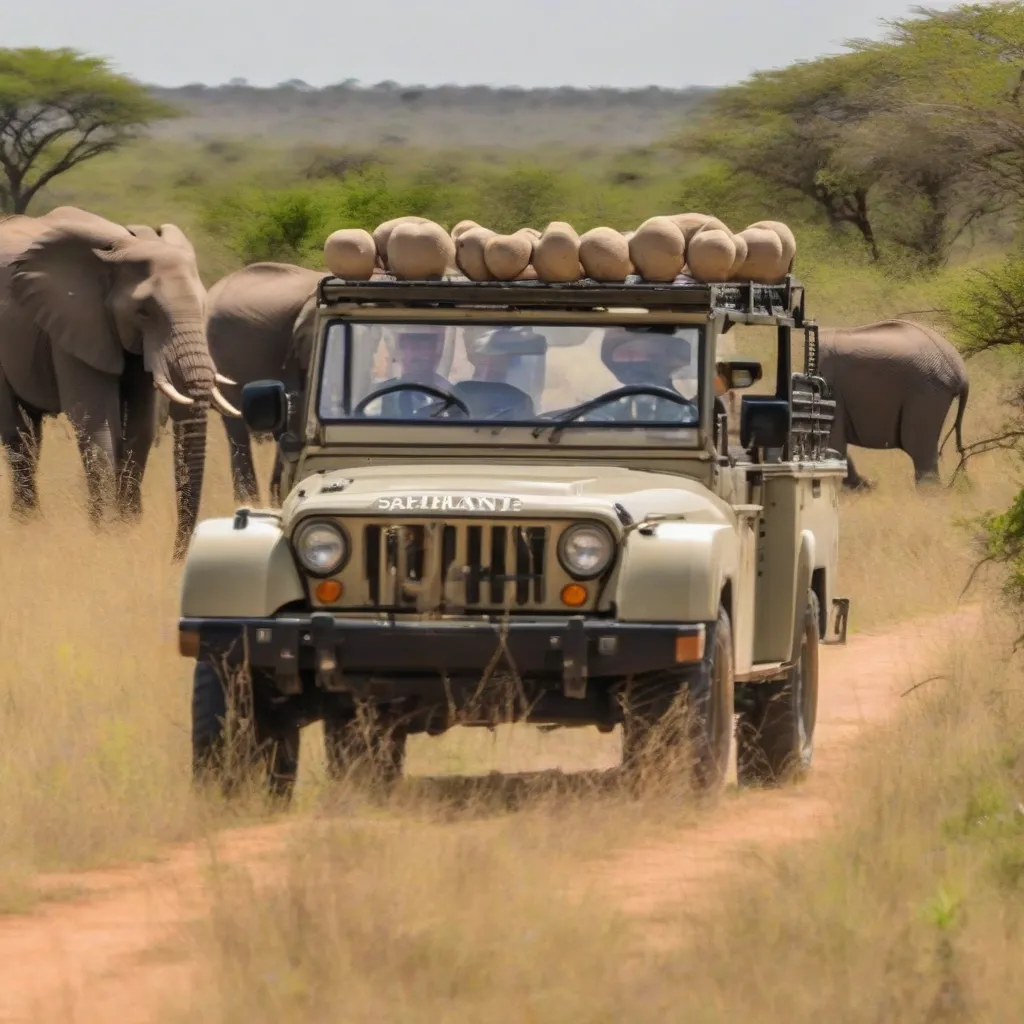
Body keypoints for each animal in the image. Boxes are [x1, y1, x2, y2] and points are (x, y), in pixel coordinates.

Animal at [0, 205, 238, 561]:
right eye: (145, 312)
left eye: (203, 305)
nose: (177, 557)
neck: (125, 244)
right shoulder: (77, 323)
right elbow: (98, 421)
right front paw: (104, 534)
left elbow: (140, 428)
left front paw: (128, 527)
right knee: (18, 435)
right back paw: (27, 526)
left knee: (30, 433)